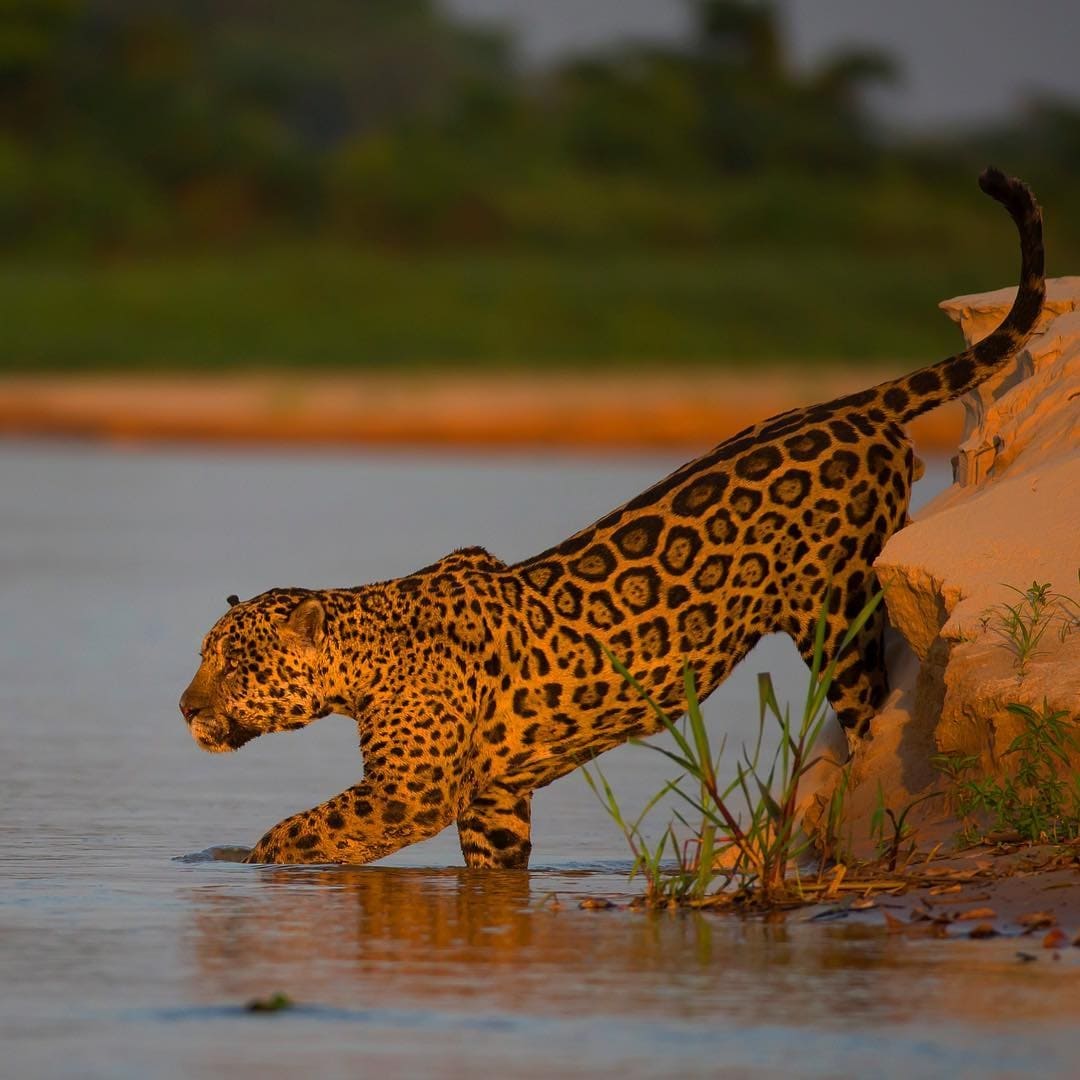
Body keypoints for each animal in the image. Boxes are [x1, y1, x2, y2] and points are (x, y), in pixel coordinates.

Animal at [179, 169, 1044, 867]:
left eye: (238, 666)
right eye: (205, 657)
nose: (186, 709)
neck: (366, 657)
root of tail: (843, 406)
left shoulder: (409, 790)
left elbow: (304, 830)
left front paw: (243, 861)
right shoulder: (495, 801)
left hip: (832, 614)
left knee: (866, 701)